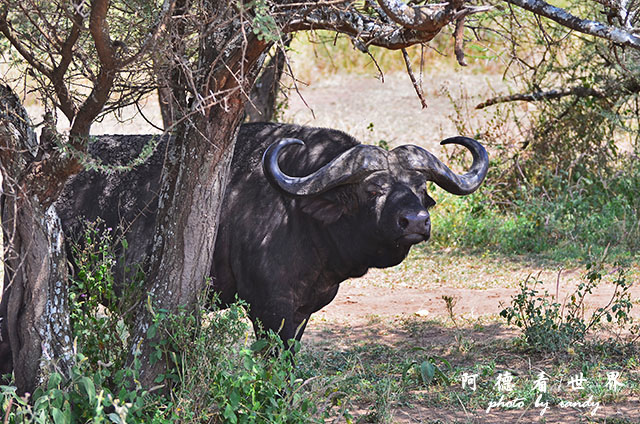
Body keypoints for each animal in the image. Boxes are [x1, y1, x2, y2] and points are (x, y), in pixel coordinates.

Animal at [55, 121, 488, 342]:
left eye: (420, 187)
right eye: (373, 189)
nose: (415, 222)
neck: (302, 219)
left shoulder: (301, 312)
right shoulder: (268, 309)